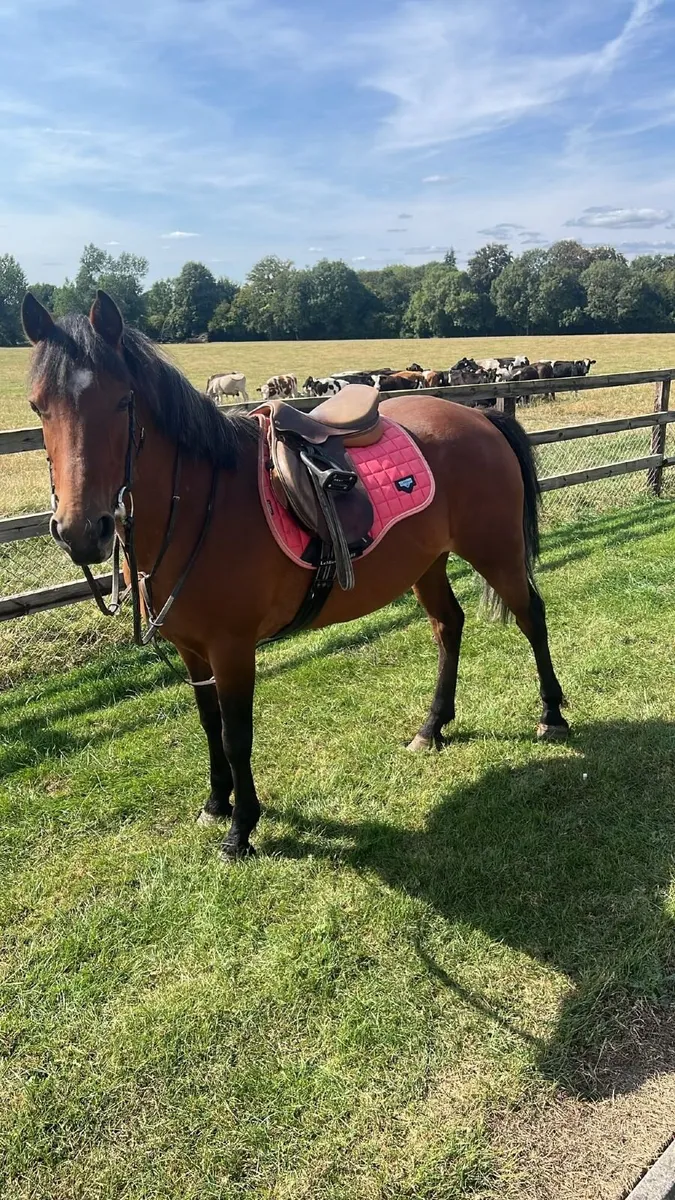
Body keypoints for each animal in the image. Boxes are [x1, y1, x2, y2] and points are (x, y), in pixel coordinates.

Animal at [21, 290, 569, 861]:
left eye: (123, 402)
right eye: (38, 406)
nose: (81, 531)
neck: (202, 502)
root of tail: (480, 418)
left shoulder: (232, 648)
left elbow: (236, 735)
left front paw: (241, 828)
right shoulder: (192, 649)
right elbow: (209, 723)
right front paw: (215, 803)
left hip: (497, 551)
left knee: (531, 615)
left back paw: (552, 715)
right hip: (427, 563)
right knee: (449, 626)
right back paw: (432, 727)